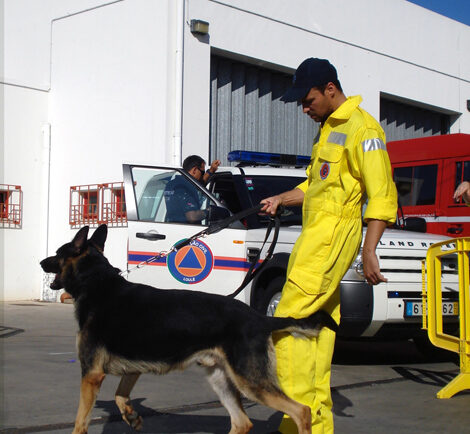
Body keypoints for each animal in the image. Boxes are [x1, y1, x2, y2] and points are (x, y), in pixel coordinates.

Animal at [39, 225, 334, 432]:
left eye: (58, 254)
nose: (41, 262)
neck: (96, 281)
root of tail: (261, 318)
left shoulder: (91, 375)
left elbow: (80, 422)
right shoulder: (132, 367)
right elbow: (121, 395)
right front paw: (132, 416)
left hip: (250, 381)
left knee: (301, 412)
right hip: (221, 379)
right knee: (242, 422)